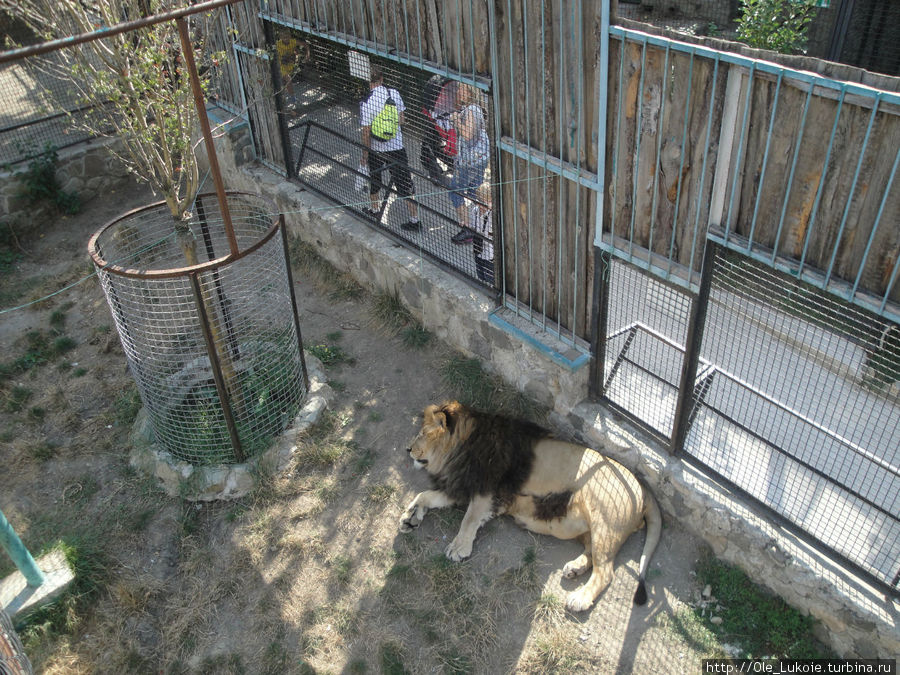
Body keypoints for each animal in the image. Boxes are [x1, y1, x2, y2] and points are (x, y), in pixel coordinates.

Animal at [400, 402, 660, 612]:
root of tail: (644, 488)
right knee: (593, 555)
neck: (459, 449)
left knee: (605, 572)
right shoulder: (462, 486)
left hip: (604, 520)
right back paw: (575, 568)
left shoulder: (487, 490)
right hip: (592, 529)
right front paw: (410, 516)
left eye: (422, 433)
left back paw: (580, 599)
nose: (408, 449)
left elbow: (469, 519)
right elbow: (425, 495)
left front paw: (458, 547)